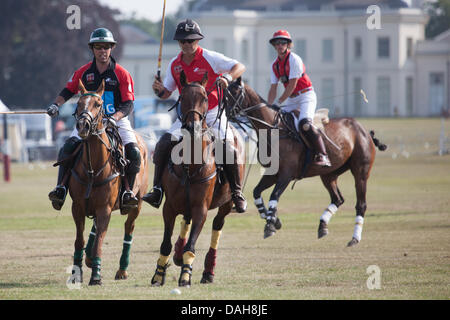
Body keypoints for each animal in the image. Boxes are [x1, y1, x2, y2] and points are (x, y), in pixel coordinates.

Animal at [67, 79, 149, 284]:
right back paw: (89, 259)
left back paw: (122, 270)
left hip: (137, 203)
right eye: (78, 103)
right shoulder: (77, 206)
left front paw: (95, 276)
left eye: (98, 104)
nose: (83, 125)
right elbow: (79, 240)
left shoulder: (104, 208)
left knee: (129, 229)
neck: (93, 168)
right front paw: (77, 272)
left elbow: (99, 242)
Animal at [149, 72, 244, 288]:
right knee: (185, 221)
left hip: (226, 203)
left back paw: (208, 272)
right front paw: (159, 274)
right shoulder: (169, 207)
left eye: (206, 98)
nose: (192, 127)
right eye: (182, 97)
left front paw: (185, 276)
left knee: (217, 225)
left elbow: (191, 246)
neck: (190, 165)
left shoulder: (201, 207)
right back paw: (177, 255)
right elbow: (165, 244)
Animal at [225, 78, 386, 248]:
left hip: (361, 172)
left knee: (361, 204)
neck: (274, 130)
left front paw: (270, 225)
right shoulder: (273, 174)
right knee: (338, 199)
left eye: (234, 92)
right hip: (329, 174)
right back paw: (322, 226)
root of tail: (364, 130)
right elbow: (257, 192)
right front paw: (274, 220)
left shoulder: (286, 174)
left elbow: (274, 196)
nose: (225, 114)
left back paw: (354, 238)